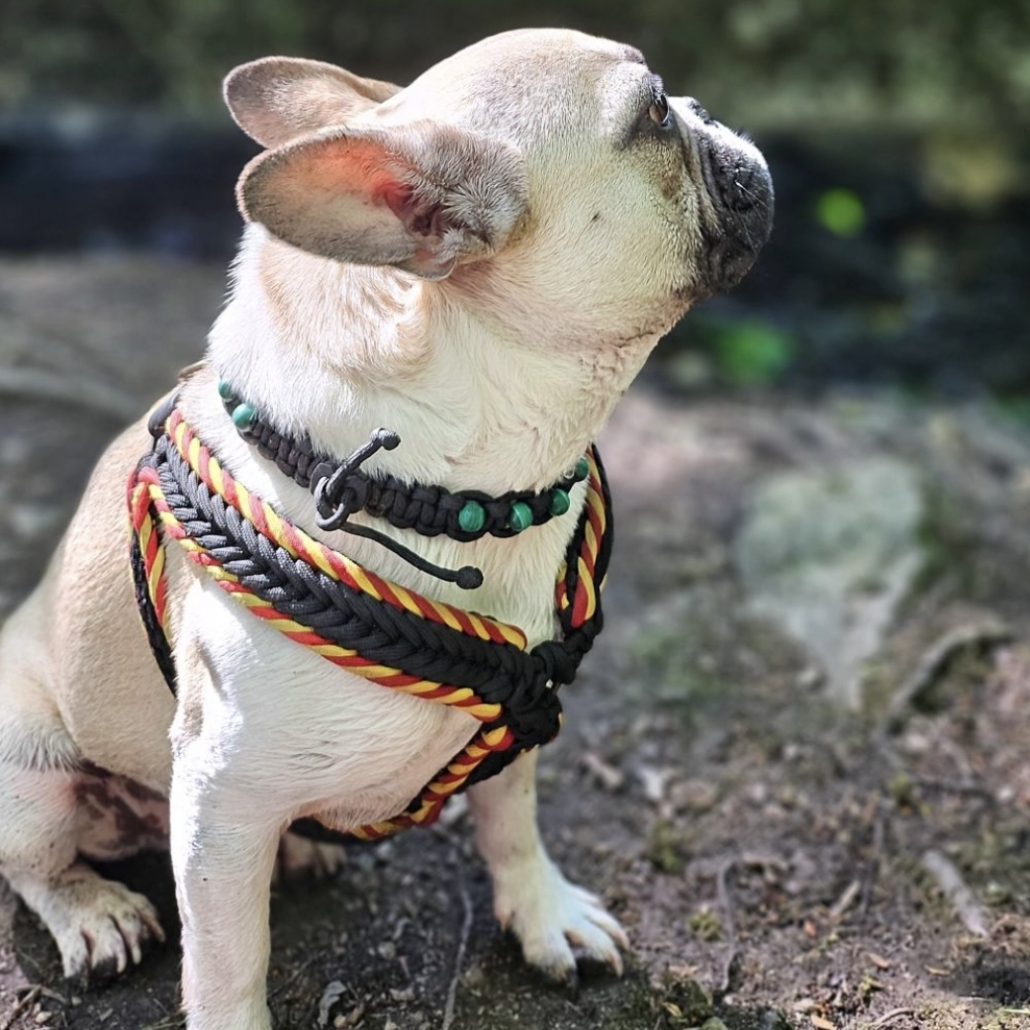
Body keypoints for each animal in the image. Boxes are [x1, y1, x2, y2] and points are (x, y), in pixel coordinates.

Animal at [0, 26, 774, 1030]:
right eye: (650, 116)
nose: (712, 116)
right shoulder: (217, 794)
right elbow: (229, 961)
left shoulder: (520, 714)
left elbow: (512, 816)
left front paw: (543, 914)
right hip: (30, 763)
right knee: (39, 864)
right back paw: (94, 911)